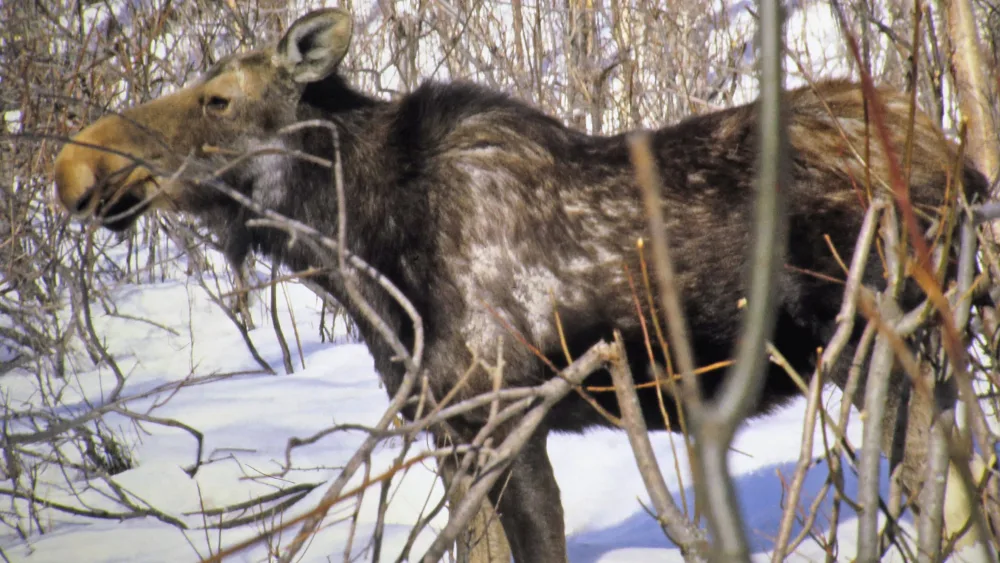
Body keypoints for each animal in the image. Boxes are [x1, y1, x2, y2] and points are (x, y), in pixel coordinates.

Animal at [52, 8, 989, 562]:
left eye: (218, 99)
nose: (73, 166)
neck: (359, 251)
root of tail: (965, 166)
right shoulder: (446, 420)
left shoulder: (505, 406)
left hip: (883, 345)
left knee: (943, 495)